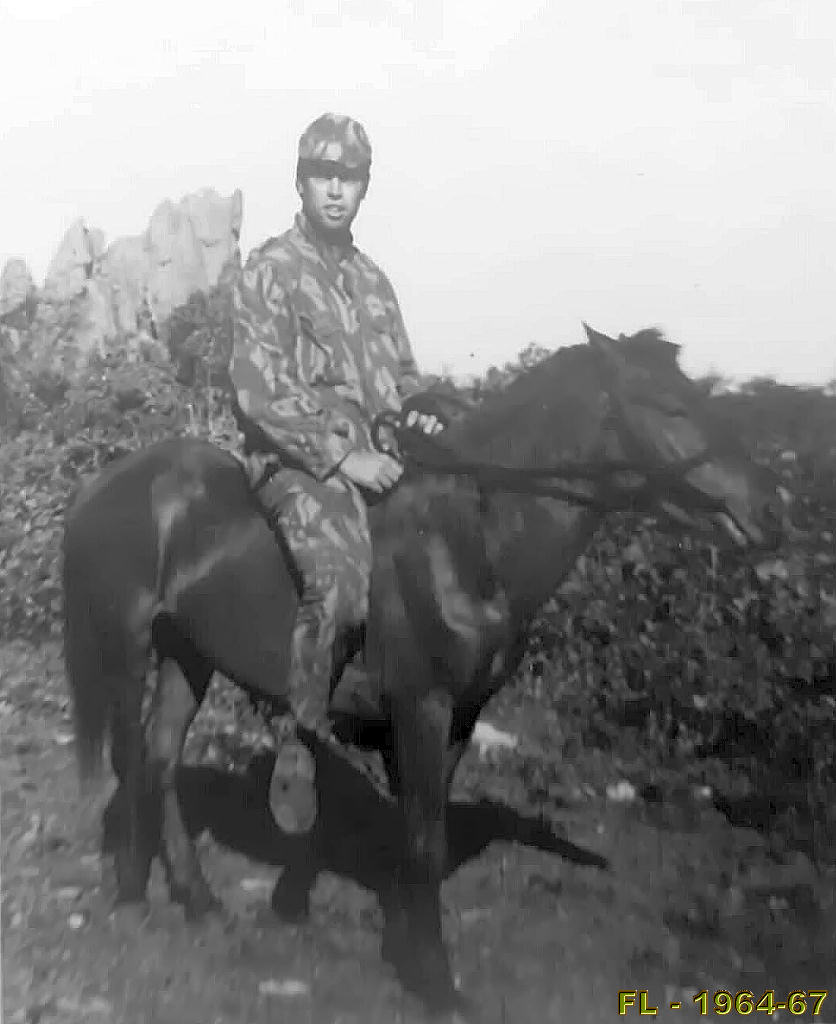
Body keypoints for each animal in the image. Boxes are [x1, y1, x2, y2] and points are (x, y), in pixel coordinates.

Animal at [62, 323, 785, 1018]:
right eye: (668, 405)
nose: (768, 510)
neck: (465, 544)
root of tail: (108, 482)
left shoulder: (460, 718)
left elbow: (419, 837)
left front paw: (410, 956)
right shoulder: (422, 709)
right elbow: (424, 841)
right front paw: (435, 981)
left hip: (188, 656)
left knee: (159, 760)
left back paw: (197, 899)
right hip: (127, 647)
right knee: (131, 758)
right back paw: (132, 894)